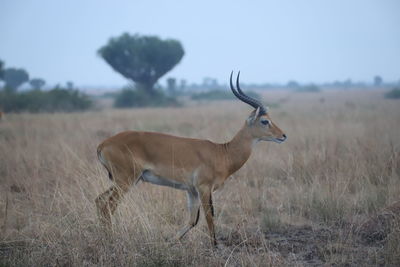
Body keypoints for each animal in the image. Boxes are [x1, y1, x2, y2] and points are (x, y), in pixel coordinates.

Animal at [95, 71, 286, 247]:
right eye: (264, 121)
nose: (283, 136)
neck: (222, 153)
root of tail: (103, 144)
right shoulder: (204, 188)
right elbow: (209, 216)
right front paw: (215, 246)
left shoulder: (191, 190)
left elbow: (193, 220)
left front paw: (169, 242)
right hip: (126, 181)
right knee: (108, 206)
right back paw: (111, 239)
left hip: (125, 181)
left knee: (99, 201)